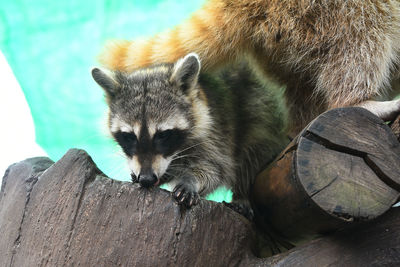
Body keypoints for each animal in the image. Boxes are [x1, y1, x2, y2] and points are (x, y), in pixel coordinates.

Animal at [93, 53, 288, 208]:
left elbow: (215, 168)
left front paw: (190, 180)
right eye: (129, 137)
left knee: (255, 144)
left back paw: (242, 194)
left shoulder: (215, 132)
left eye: (163, 135)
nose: (147, 179)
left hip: (262, 106)